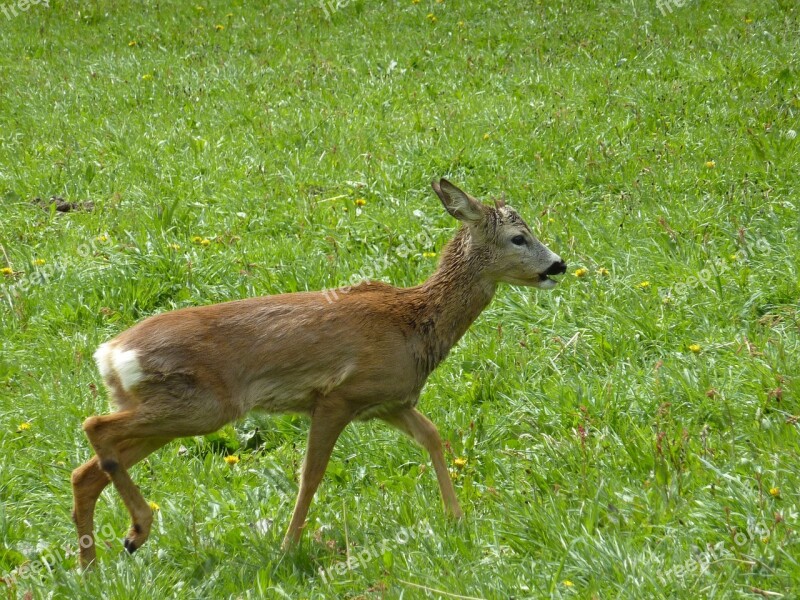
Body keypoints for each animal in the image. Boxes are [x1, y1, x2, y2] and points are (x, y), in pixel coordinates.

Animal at [70, 178, 568, 568]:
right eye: (519, 237)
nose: (558, 265)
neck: (414, 322)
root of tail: (110, 354)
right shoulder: (337, 397)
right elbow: (311, 474)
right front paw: (288, 547)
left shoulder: (387, 401)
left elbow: (431, 435)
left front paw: (457, 518)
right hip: (202, 406)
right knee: (95, 426)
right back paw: (137, 530)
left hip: (169, 412)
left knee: (86, 470)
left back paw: (96, 564)